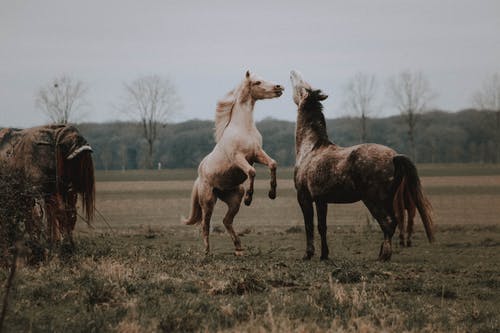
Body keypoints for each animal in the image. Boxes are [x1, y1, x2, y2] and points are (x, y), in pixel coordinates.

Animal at [184, 70, 286, 254]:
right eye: (257, 82)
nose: (279, 87)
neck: (244, 128)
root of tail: (199, 178)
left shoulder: (257, 154)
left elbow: (273, 164)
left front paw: (272, 193)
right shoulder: (239, 158)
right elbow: (252, 172)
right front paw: (249, 198)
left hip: (233, 198)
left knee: (227, 221)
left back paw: (239, 248)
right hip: (208, 200)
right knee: (205, 224)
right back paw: (207, 251)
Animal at [290, 70, 434, 260]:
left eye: (301, 86)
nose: (292, 72)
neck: (311, 147)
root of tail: (394, 156)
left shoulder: (304, 197)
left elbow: (309, 226)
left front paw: (308, 254)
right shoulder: (322, 200)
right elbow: (322, 227)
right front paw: (324, 255)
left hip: (373, 200)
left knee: (388, 223)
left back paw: (384, 256)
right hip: (388, 200)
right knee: (394, 222)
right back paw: (382, 253)